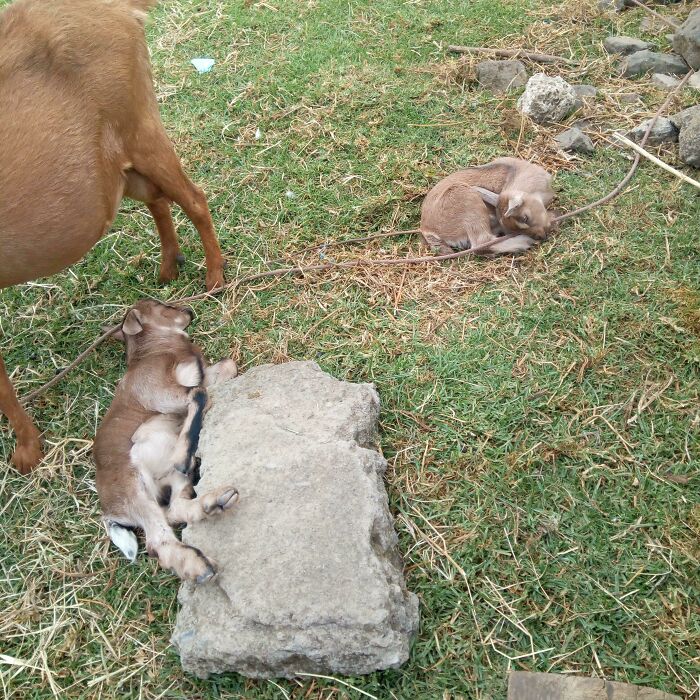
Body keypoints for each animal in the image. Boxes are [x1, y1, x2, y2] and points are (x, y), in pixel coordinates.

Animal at [0, 0, 225, 473]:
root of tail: (119, 8)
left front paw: (28, 450)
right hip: (120, 164)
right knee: (158, 199)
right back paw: (169, 266)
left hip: (141, 128)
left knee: (193, 198)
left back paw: (214, 277)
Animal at [93, 300, 239, 582]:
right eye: (160, 306)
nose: (188, 311)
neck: (156, 350)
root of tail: (110, 512)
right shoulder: (159, 392)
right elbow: (199, 393)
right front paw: (182, 456)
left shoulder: (202, 375)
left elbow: (227, 367)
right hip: (134, 488)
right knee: (158, 541)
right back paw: (201, 567)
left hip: (172, 485)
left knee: (174, 511)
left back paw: (216, 501)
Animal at [420, 157, 556, 255]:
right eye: (525, 218)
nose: (541, 236)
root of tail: (426, 229)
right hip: (466, 199)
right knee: (481, 244)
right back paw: (524, 242)